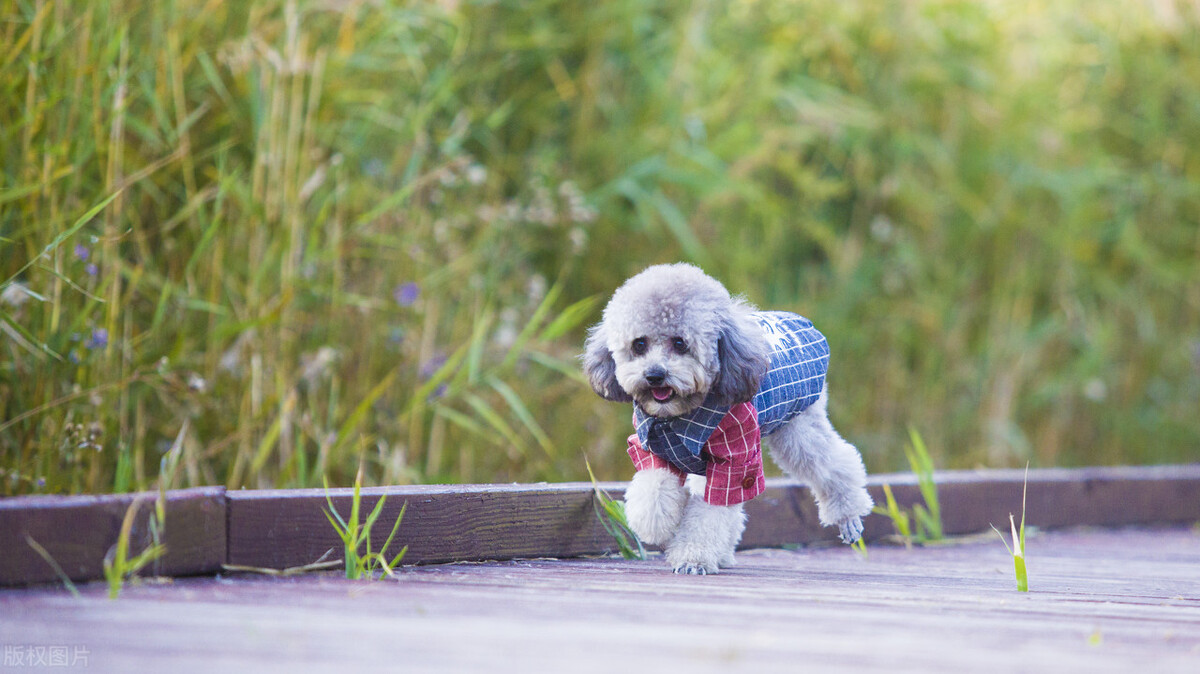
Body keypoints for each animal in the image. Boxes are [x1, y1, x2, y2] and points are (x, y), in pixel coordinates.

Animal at [580, 262, 873, 570]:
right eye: (639, 344)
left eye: (680, 343)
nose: (655, 375)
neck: (680, 416)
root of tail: (800, 322)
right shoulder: (652, 447)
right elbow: (655, 485)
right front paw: (655, 525)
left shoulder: (735, 459)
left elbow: (711, 511)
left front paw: (693, 558)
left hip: (799, 426)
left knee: (833, 462)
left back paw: (849, 518)